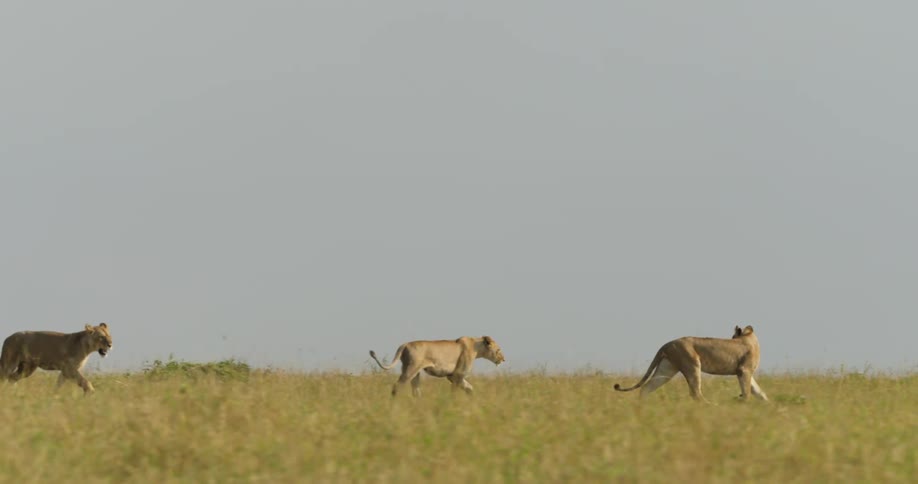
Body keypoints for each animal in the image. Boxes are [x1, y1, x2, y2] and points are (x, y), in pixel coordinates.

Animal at [369, 336, 505, 396]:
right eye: (498, 350)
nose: (503, 359)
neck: (476, 347)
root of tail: (405, 344)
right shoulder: (457, 375)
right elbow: (455, 391)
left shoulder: (453, 376)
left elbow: (469, 388)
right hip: (411, 370)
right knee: (397, 386)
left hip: (414, 372)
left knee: (416, 391)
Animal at [613, 325, 767, 402]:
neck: (750, 337)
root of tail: (667, 344)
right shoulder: (743, 370)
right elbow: (747, 392)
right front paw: (741, 401)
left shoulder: (747, 372)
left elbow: (759, 392)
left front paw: (769, 406)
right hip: (692, 364)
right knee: (695, 393)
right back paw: (711, 405)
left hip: (667, 368)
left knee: (647, 387)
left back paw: (641, 406)